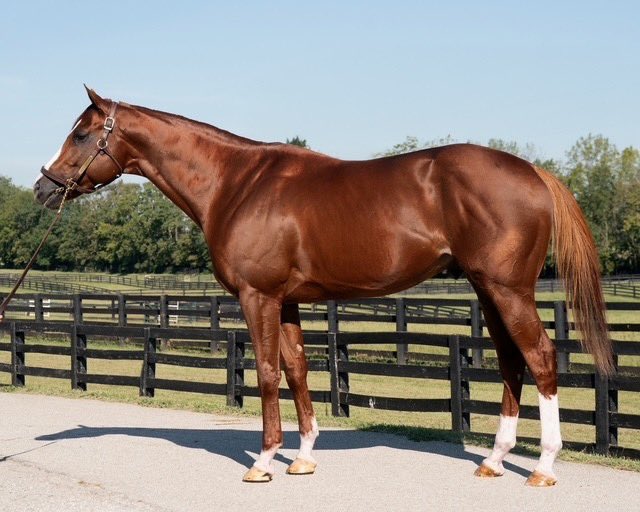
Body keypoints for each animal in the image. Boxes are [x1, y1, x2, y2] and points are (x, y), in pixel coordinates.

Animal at [34, 87, 613, 486]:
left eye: (82, 134)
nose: (43, 187)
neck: (235, 183)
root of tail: (534, 172)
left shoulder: (259, 298)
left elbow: (267, 372)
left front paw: (265, 460)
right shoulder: (287, 301)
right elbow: (296, 370)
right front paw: (305, 457)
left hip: (508, 290)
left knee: (540, 358)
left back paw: (543, 467)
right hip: (488, 291)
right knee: (513, 363)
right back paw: (493, 460)